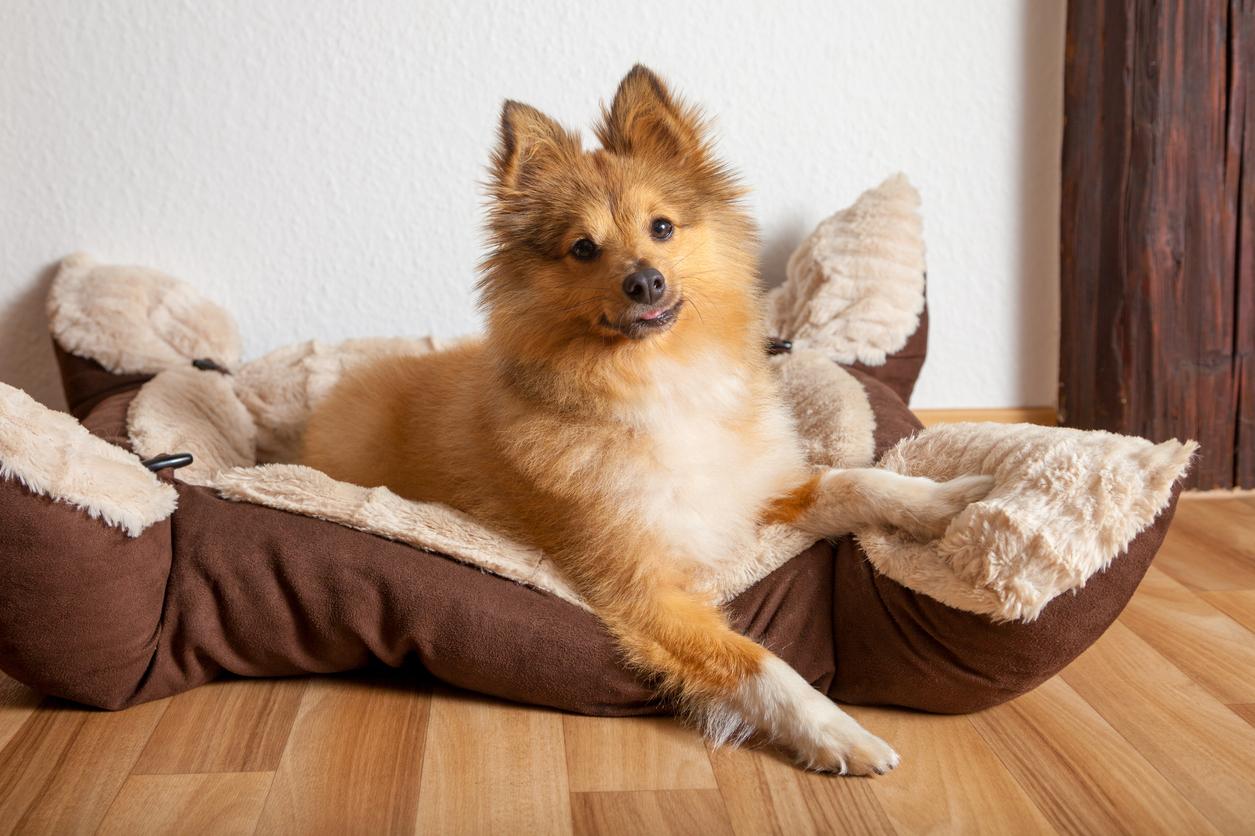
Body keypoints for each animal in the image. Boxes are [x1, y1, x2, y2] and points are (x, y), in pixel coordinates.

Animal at [301, 66, 988, 773]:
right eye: (583, 248)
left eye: (661, 228)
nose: (646, 282)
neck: (657, 378)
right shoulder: (646, 592)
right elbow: (757, 665)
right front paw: (837, 732)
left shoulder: (753, 496)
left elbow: (852, 481)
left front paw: (947, 500)